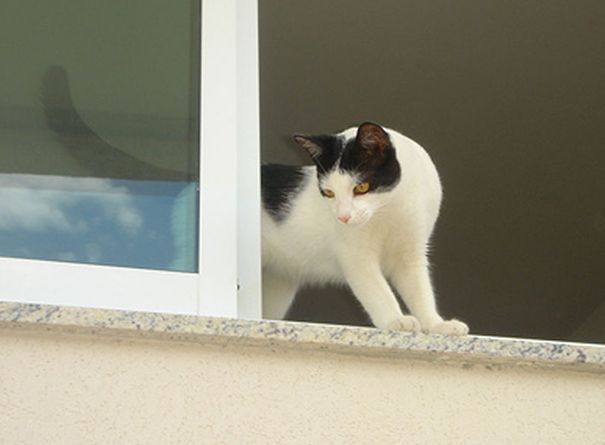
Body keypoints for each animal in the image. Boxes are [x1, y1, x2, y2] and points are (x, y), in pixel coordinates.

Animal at [260, 121, 468, 332]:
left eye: (361, 187)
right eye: (328, 192)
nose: (343, 217)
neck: (389, 208)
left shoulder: (411, 252)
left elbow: (420, 291)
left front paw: (437, 325)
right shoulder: (356, 256)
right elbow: (378, 290)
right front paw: (395, 320)